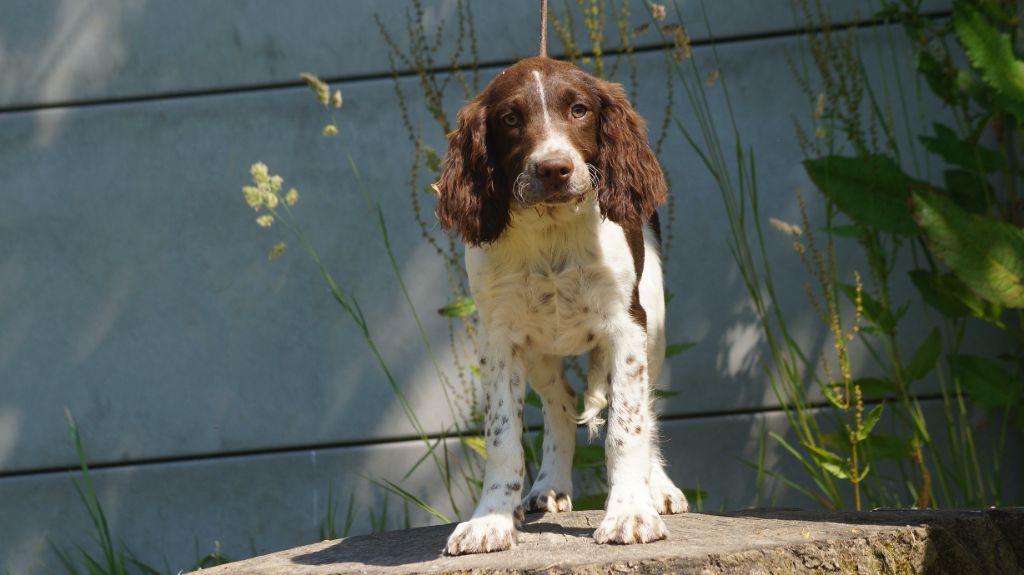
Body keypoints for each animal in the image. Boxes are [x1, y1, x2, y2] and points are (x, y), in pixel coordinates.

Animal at [434, 56, 684, 552]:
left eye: (579, 110)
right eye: (510, 119)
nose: (554, 169)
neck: (551, 230)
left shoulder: (628, 326)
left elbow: (626, 427)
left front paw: (629, 512)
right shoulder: (499, 338)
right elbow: (503, 436)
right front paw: (491, 519)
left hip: (655, 328)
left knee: (646, 409)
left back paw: (659, 487)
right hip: (538, 352)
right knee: (561, 403)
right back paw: (549, 486)